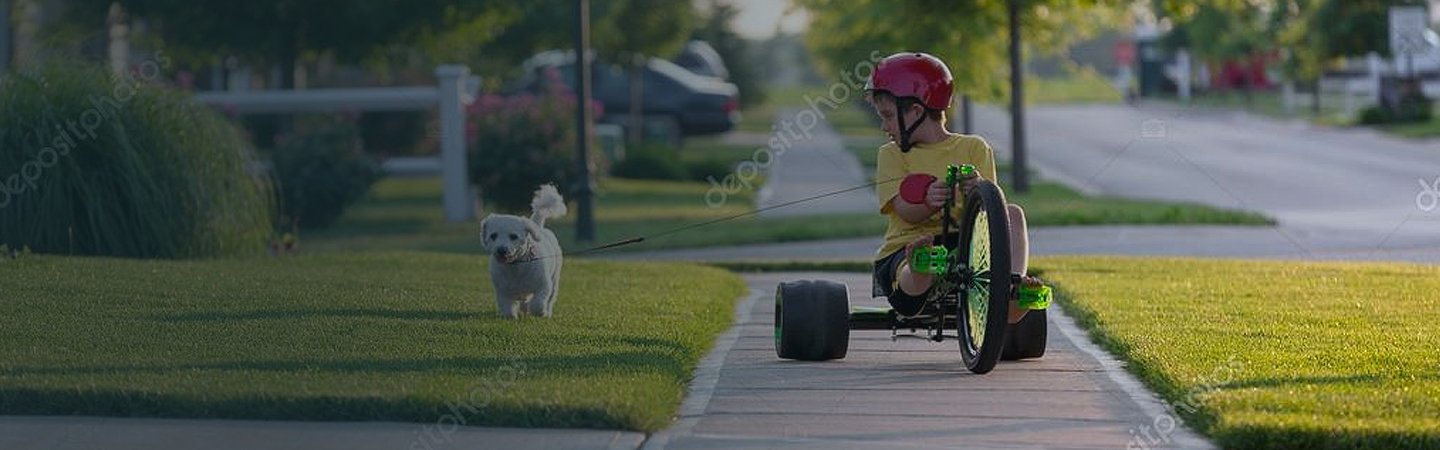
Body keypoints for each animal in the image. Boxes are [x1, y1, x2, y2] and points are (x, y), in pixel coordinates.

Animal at [480, 184, 564, 318]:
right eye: (493, 236)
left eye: (513, 236)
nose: (501, 250)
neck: (515, 266)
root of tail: (538, 227)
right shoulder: (502, 291)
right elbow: (507, 307)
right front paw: (511, 317)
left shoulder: (543, 285)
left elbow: (537, 303)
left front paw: (540, 312)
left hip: (555, 277)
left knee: (550, 298)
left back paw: (547, 312)